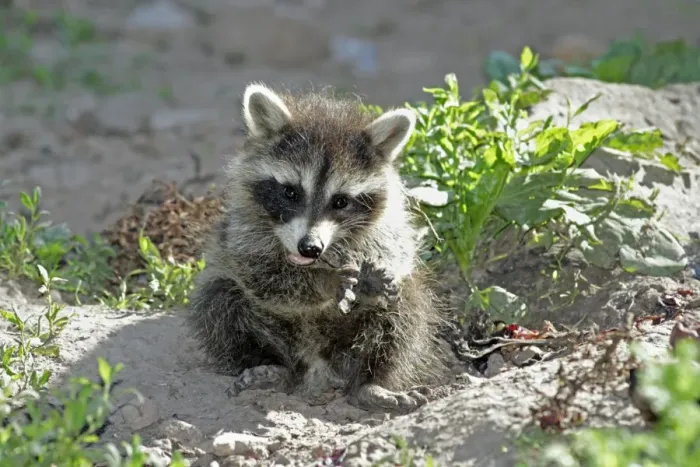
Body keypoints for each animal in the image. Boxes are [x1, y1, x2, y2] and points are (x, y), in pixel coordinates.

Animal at [187, 83, 449, 413]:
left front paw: (369, 278)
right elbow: (261, 274)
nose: (310, 248)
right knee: (221, 300)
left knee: (405, 309)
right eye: (290, 192)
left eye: (340, 201)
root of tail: (316, 366)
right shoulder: (241, 230)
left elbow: (398, 253)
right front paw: (324, 282)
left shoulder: (389, 226)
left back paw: (372, 383)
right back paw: (267, 365)